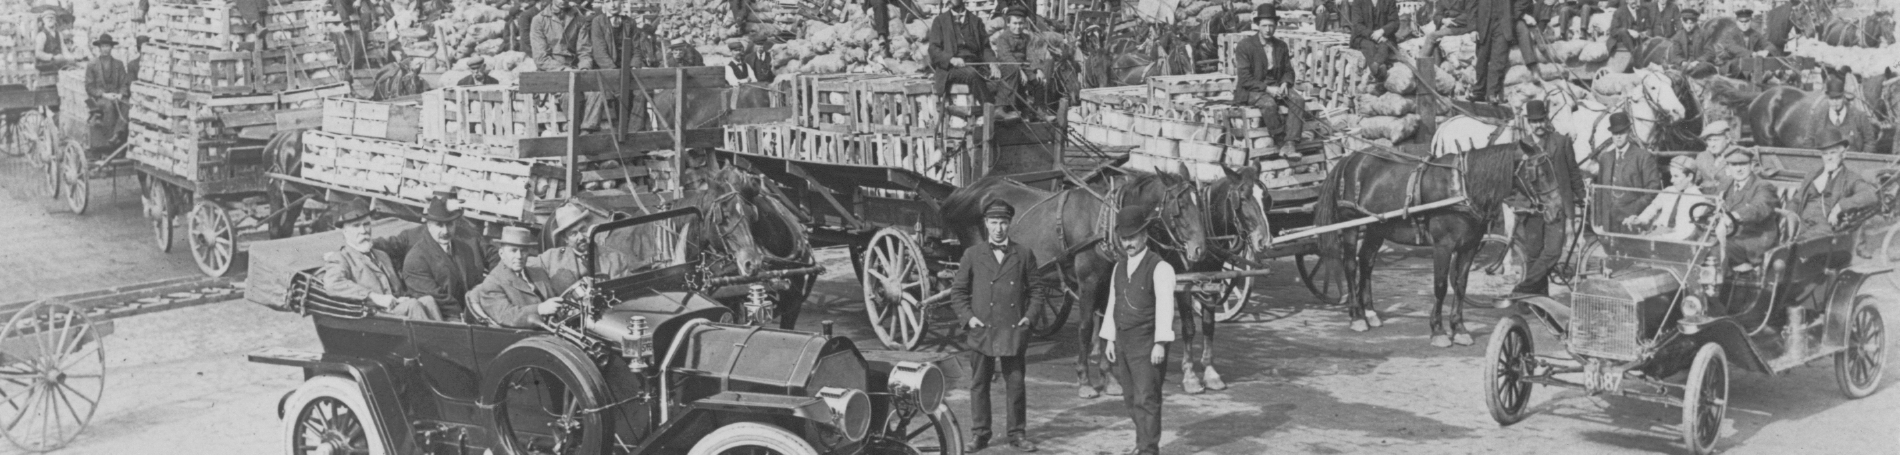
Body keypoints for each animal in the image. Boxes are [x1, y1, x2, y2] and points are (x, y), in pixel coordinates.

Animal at [942, 167, 1208, 397]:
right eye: (1181, 206)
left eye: (1200, 205)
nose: (1199, 249)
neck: (1106, 221)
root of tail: (966, 191)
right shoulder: (1089, 282)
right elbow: (1086, 328)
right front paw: (1085, 381)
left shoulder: (1108, 283)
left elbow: (1106, 326)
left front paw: (1109, 379)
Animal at [1314, 141, 1565, 344]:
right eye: (1538, 173)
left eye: (1552, 169)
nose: (1557, 210)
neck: (1462, 187)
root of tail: (1350, 158)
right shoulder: (1443, 246)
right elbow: (1441, 286)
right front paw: (1438, 331)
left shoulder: (1469, 246)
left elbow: (1461, 285)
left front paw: (1459, 328)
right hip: (1350, 224)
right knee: (1350, 265)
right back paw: (1357, 316)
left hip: (1377, 228)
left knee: (1366, 263)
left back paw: (1370, 313)